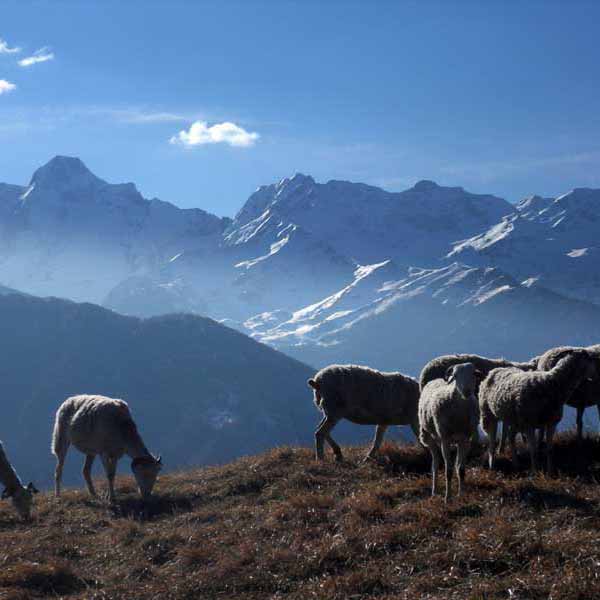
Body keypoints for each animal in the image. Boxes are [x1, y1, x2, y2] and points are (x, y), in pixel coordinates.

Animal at [420, 360, 480, 502]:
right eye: (455, 375)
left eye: (473, 374)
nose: (467, 391)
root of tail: (435, 379)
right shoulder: (445, 439)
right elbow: (448, 471)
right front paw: (448, 498)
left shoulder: (465, 439)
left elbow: (461, 469)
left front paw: (461, 495)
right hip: (430, 437)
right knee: (435, 464)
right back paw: (434, 491)